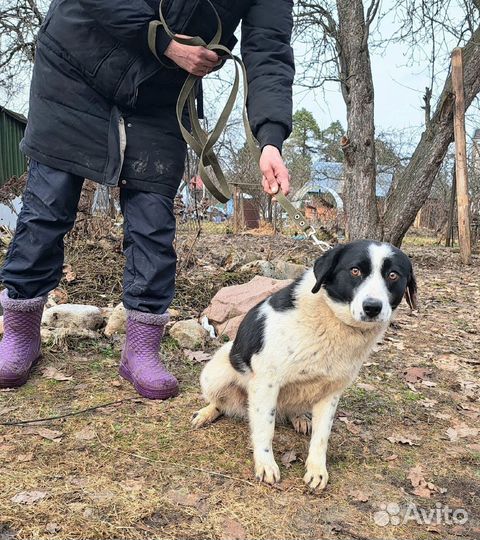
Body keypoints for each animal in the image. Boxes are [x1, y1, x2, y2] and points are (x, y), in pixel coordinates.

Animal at [191, 240, 416, 490]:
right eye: (355, 271)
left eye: (393, 275)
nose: (372, 307)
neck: (332, 319)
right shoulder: (266, 383)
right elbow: (265, 429)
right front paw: (266, 464)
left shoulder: (331, 392)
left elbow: (321, 437)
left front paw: (317, 470)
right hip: (216, 372)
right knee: (220, 402)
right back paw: (207, 413)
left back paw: (299, 418)